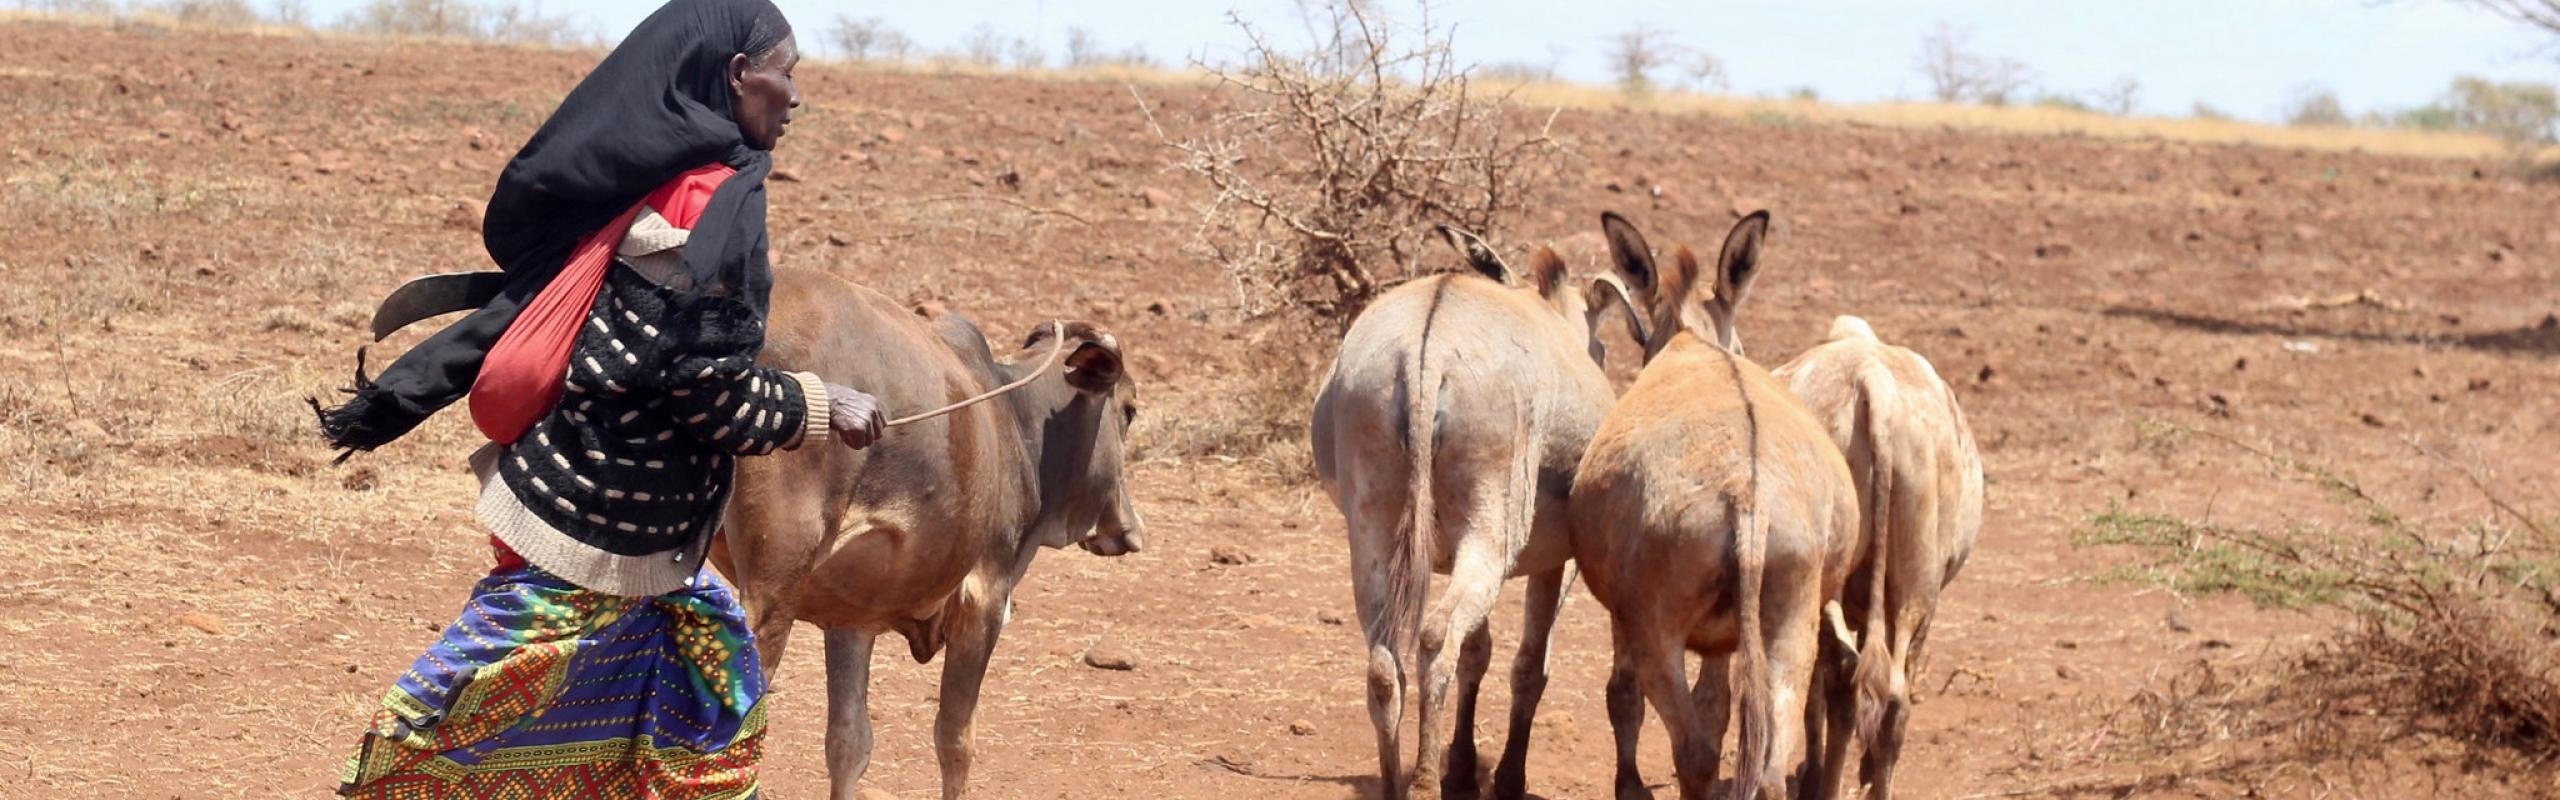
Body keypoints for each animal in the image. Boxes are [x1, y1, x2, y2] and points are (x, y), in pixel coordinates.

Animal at [706, 265, 1136, 794]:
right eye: (1130, 410)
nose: (1127, 528)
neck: (1014, 420)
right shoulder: (983, 600)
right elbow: (955, 739)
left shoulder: (850, 617)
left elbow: (848, 742)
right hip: (771, 591)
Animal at [1556, 212, 1863, 800]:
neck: (1692, 343)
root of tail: (1746, 496)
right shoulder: (1727, 643)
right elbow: (1718, 709)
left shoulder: (1626, 619)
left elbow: (1624, 698)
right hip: (1790, 623)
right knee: (1768, 767)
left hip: (1658, 635)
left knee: (1692, 751)